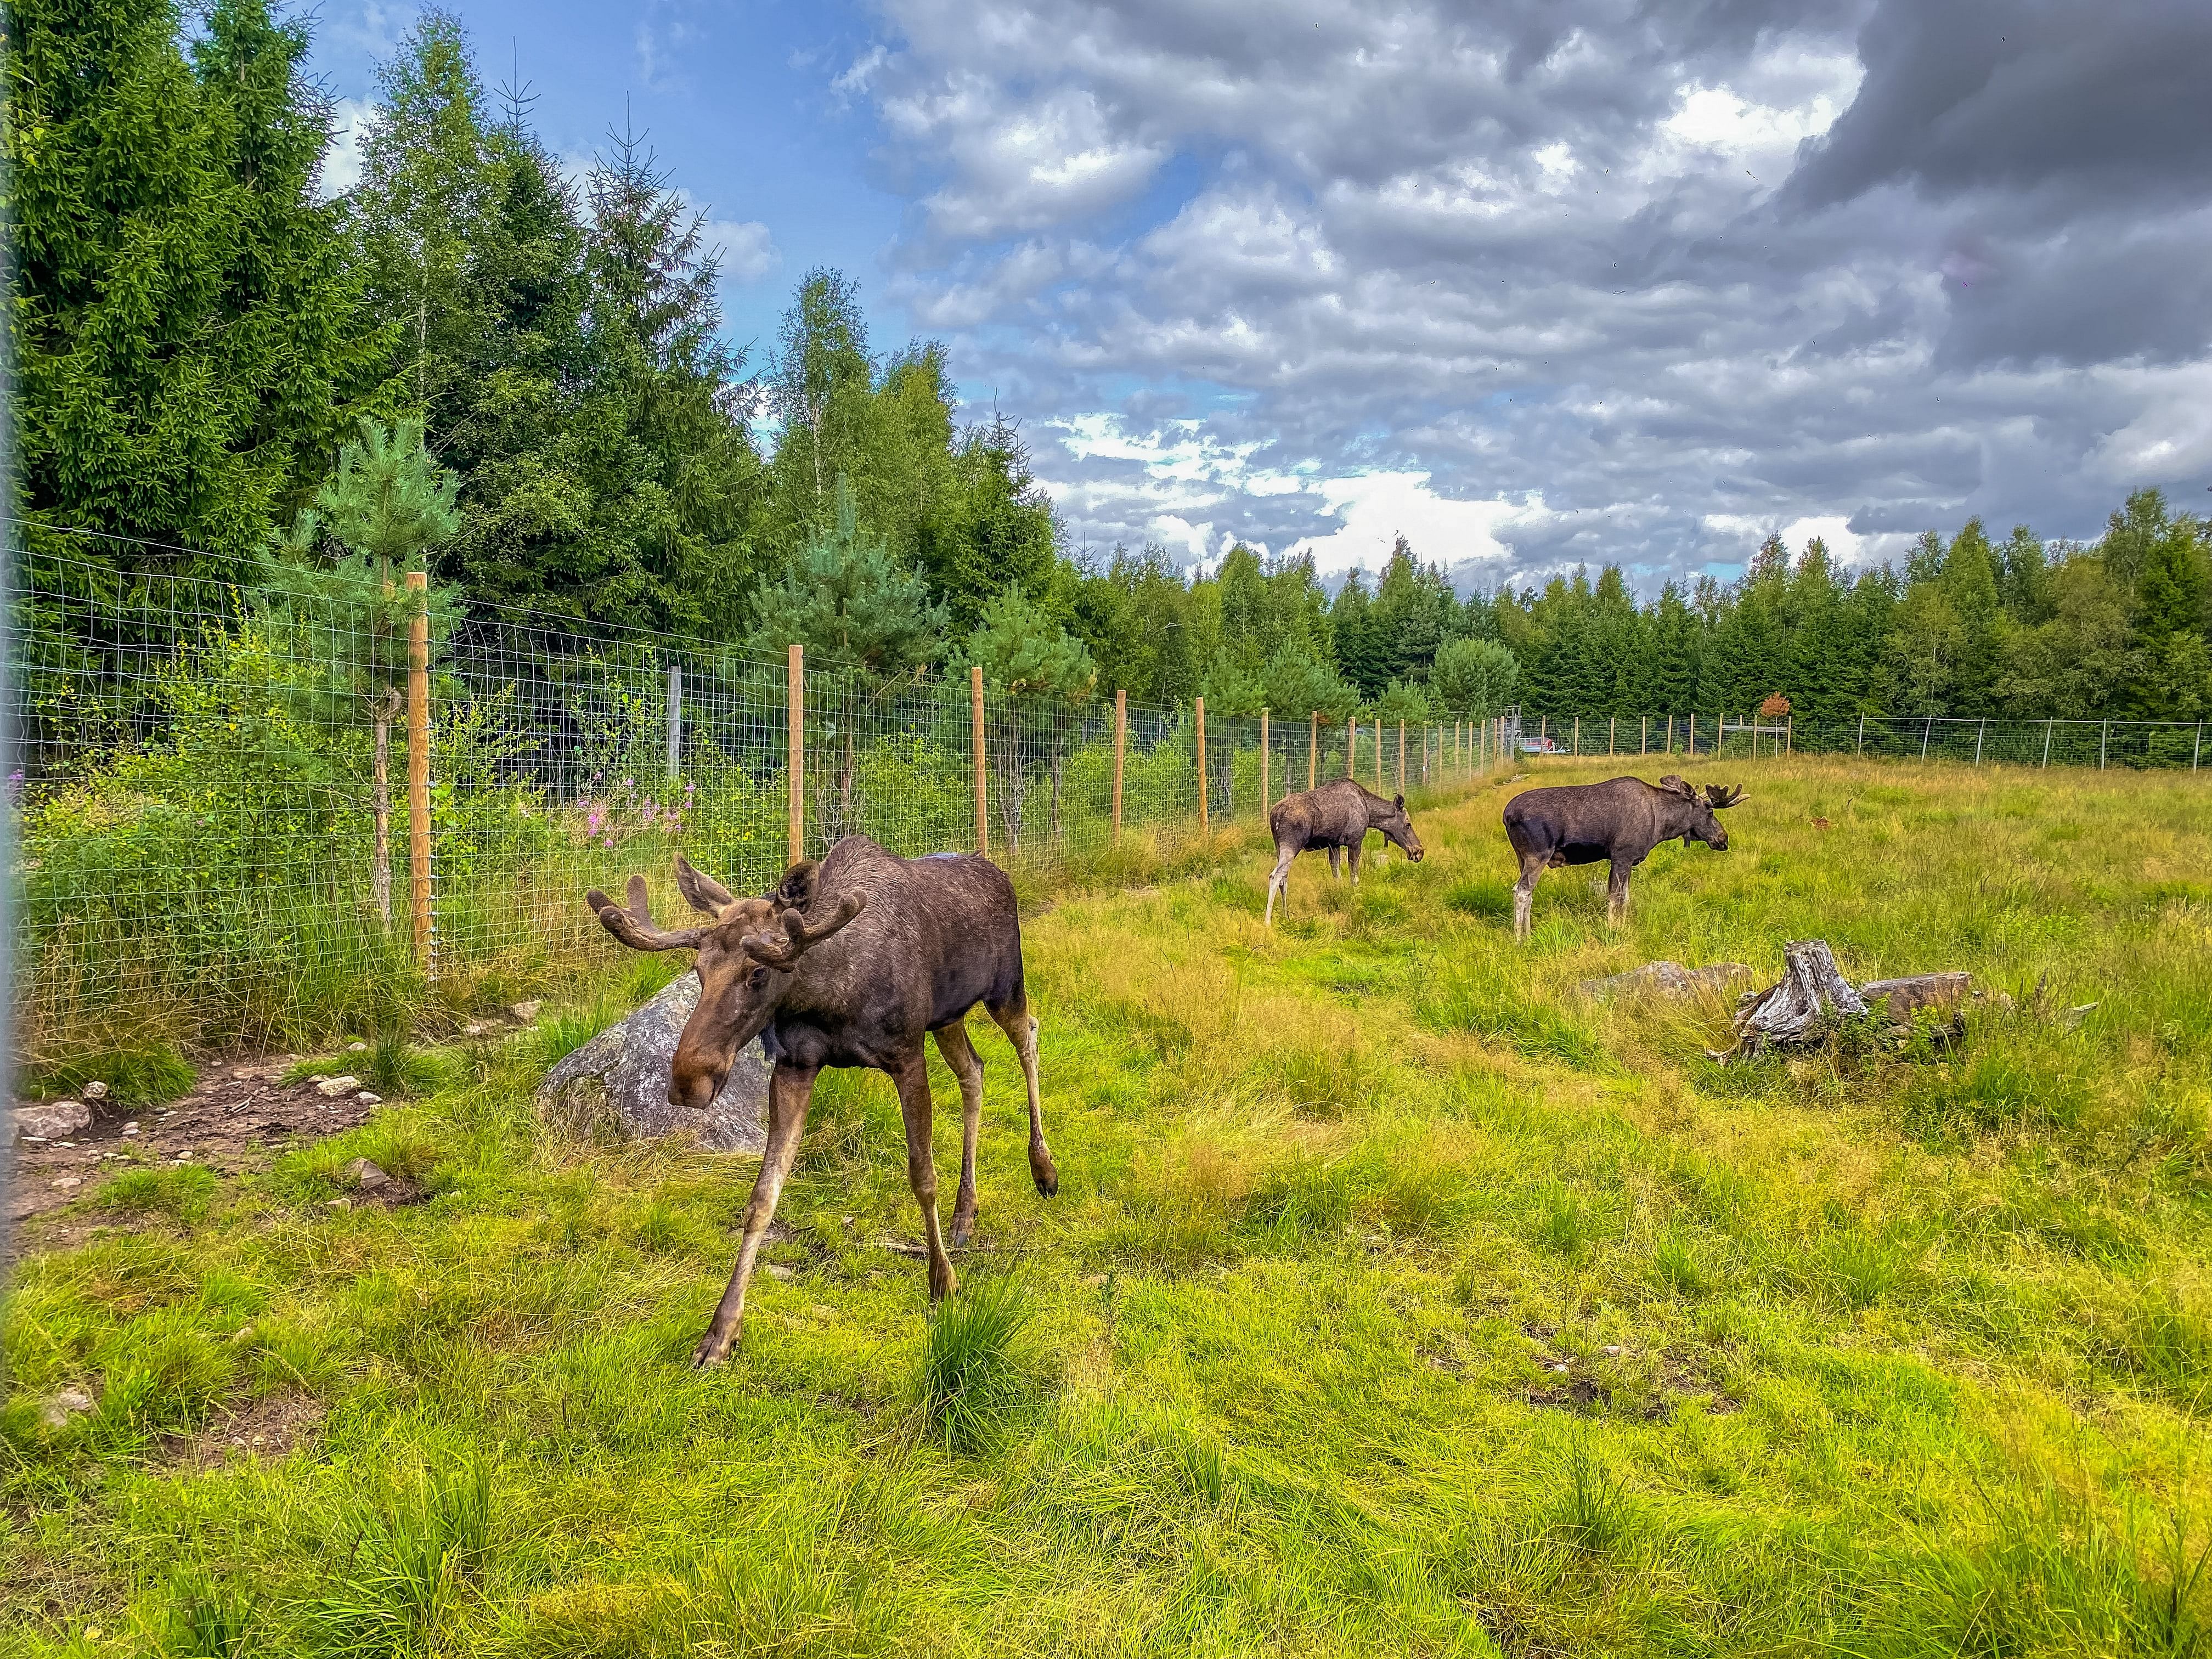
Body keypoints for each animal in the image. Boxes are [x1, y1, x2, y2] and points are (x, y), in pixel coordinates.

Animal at [592, 836, 1057, 1371]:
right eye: (698, 969)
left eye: (757, 972)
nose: (688, 1081)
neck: (828, 996)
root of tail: (999, 873)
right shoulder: (795, 1064)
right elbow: (763, 1196)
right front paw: (721, 1332)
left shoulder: (906, 1055)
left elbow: (922, 1177)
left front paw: (942, 1282)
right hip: (949, 1016)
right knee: (974, 1073)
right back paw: (966, 1212)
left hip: (1006, 989)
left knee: (1029, 1038)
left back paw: (1044, 1169)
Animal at [1265, 778, 1433, 924]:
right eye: (1408, 824)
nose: (1419, 851)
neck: (1369, 813)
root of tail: (1275, 814)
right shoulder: (1355, 841)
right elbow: (1355, 878)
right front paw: (1356, 900)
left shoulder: (1334, 845)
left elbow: (1337, 876)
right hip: (1292, 845)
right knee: (1276, 876)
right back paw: (1268, 922)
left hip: (1279, 846)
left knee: (1284, 879)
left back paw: (1286, 916)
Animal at [1504, 774, 1743, 942]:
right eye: (1710, 811)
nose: (1723, 839)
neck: (1661, 825)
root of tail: (1507, 815)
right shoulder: (1622, 856)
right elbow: (1615, 898)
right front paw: (1613, 929)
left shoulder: (1627, 861)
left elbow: (1626, 898)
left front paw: (1624, 926)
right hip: (1538, 855)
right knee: (1522, 892)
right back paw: (1519, 939)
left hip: (1522, 857)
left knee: (1529, 893)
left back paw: (1528, 934)